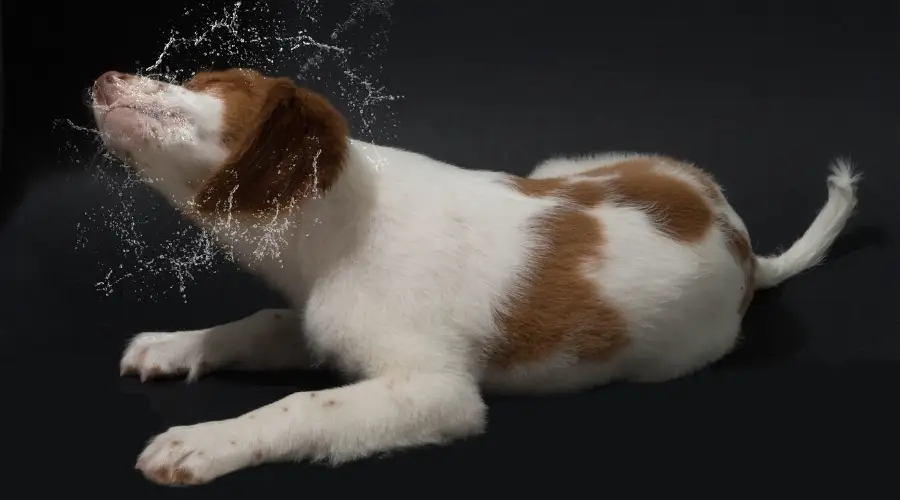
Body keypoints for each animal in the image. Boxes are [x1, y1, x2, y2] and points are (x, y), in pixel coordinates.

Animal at [89, 68, 856, 486]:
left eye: (212, 85)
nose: (103, 79)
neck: (346, 220)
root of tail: (744, 243)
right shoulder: (314, 318)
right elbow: (262, 321)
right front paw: (174, 345)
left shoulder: (437, 391)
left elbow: (304, 406)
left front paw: (202, 441)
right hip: (559, 165)